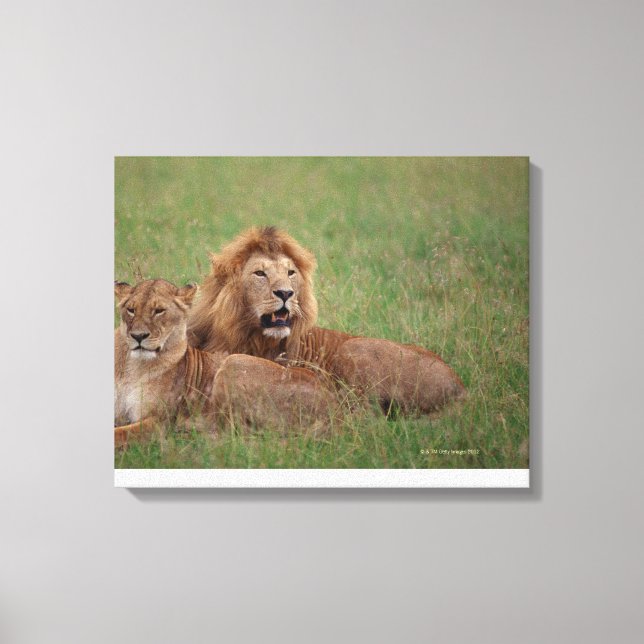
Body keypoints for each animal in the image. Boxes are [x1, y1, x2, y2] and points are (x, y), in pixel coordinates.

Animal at [114, 279, 335, 447]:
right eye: (131, 310)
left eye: (159, 311)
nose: (138, 336)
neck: (133, 366)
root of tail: (332, 408)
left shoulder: (159, 421)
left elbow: (120, 434)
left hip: (233, 362)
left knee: (235, 434)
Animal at [188, 227, 466, 415]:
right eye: (259, 273)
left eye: (290, 273)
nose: (286, 293)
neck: (245, 334)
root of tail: (460, 386)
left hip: (354, 348)